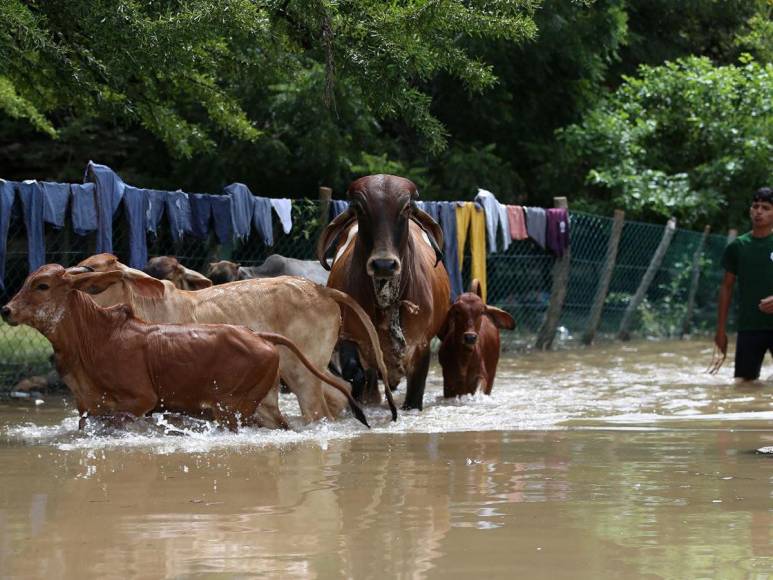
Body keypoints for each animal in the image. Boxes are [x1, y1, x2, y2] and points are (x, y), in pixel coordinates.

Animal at [316, 174, 452, 410]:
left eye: (406, 208)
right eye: (359, 207)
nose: (384, 264)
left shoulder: (420, 348)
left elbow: (414, 395)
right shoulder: (350, 335)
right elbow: (354, 372)